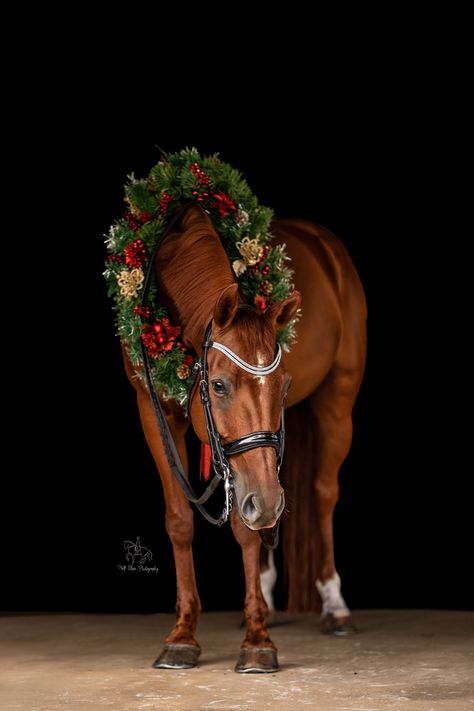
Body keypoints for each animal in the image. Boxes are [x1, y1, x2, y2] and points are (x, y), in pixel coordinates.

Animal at [122, 202, 366, 672]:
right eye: (218, 385)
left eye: (284, 385)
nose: (267, 501)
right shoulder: (152, 411)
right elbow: (180, 520)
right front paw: (182, 633)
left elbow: (245, 526)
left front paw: (257, 640)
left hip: (337, 400)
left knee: (322, 494)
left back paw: (334, 603)